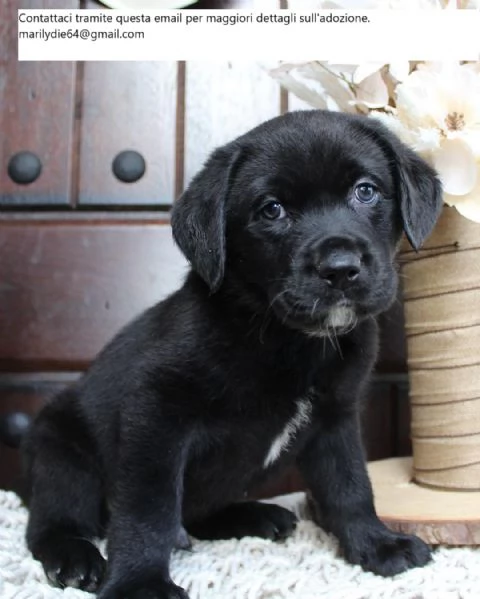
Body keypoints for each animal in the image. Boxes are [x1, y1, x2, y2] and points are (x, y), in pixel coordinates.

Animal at [22, 110, 442, 596]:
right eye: (272, 209)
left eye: (366, 190)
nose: (340, 269)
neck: (290, 339)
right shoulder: (156, 414)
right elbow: (148, 509)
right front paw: (139, 582)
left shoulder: (335, 419)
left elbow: (350, 485)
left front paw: (376, 544)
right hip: (61, 453)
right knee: (53, 520)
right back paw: (73, 556)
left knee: (198, 515)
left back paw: (255, 515)